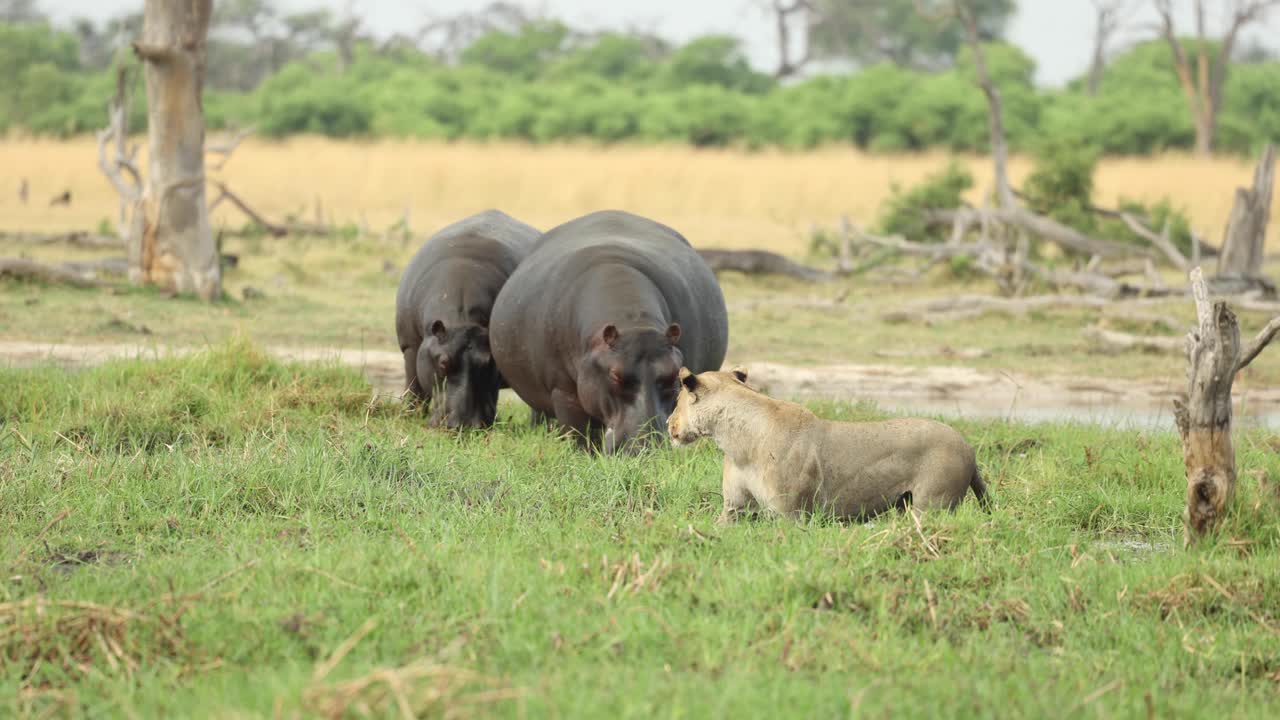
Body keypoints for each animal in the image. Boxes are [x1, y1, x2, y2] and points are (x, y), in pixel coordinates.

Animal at [395, 209, 539, 429]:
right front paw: (411, 416)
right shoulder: (410, 346)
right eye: (443, 363)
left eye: (488, 363)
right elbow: (414, 387)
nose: (463, 425)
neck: (461, 321)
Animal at [490, 210, 729, 453]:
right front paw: (582, 454)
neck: (634, 323)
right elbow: (579, 433)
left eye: (673, 374)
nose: (643, 448)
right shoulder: (563, 390)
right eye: (615, 374)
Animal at [668, 367, 989, 523]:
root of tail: (968, 448)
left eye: (677, 399)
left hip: (932, 506)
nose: (669, 423)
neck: (736, 444)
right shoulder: (735, 508)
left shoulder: (791, 515)